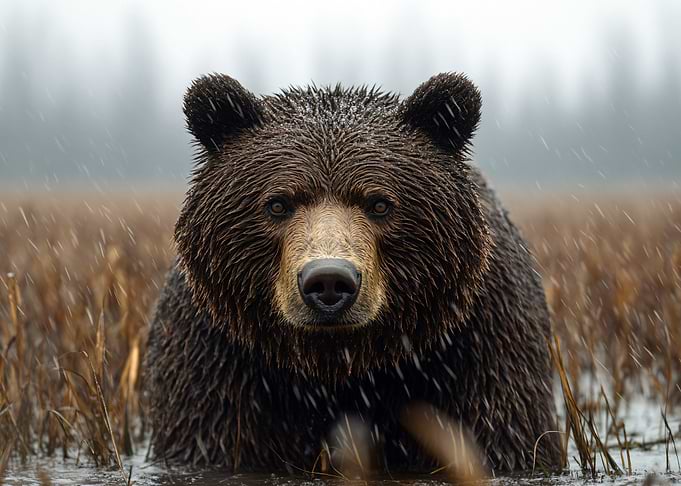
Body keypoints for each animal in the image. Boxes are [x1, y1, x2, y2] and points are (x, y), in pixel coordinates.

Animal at [144, 72, 562, 473]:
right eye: (277, 204)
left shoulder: (476, 349)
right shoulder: (218, 357)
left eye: (379, 203)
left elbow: (501, 432)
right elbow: (209, 432)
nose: (329, 280)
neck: (342, 366)